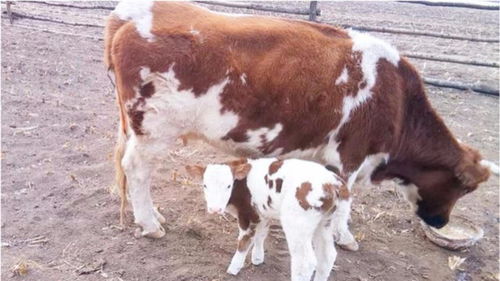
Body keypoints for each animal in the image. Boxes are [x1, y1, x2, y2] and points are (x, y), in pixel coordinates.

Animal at [103, 1, 490, 240]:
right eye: (464, 188)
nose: (442, 222)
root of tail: (133, 13)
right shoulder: (351, 155)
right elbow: (346, 201)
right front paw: (343, 237)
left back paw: (154, 216)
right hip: (153, 129)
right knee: (137, 169)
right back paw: (150, 224)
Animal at [187, 158, 352, 280]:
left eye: (228, 185)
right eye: (205, 185)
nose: (215, 209)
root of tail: (335, 183)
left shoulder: (247, 215)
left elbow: (244, 242)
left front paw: (234, 267)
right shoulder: (262, 213)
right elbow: (261, 235)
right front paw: (258, 258)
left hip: (297, 224)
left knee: (305, 263)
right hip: (325, 223)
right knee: (327, 256)